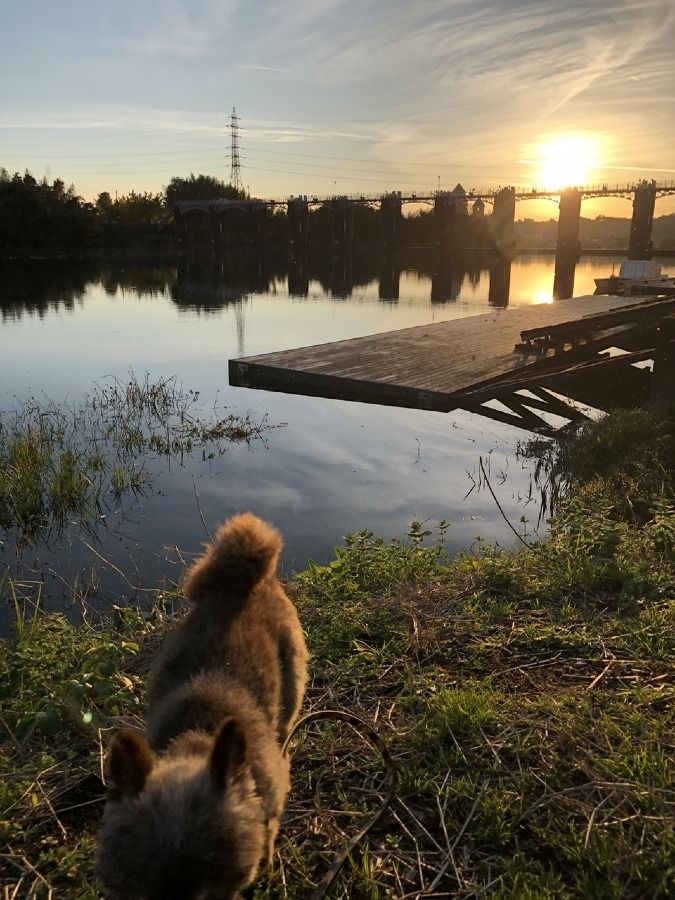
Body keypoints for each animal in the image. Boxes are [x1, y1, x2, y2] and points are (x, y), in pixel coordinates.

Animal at [97, 512, 308, 900]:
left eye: (208, 894)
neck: (198, 735)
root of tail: (240, 582)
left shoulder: (269, 808)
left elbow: (268, 835)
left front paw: (268, 864)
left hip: (292, 683)